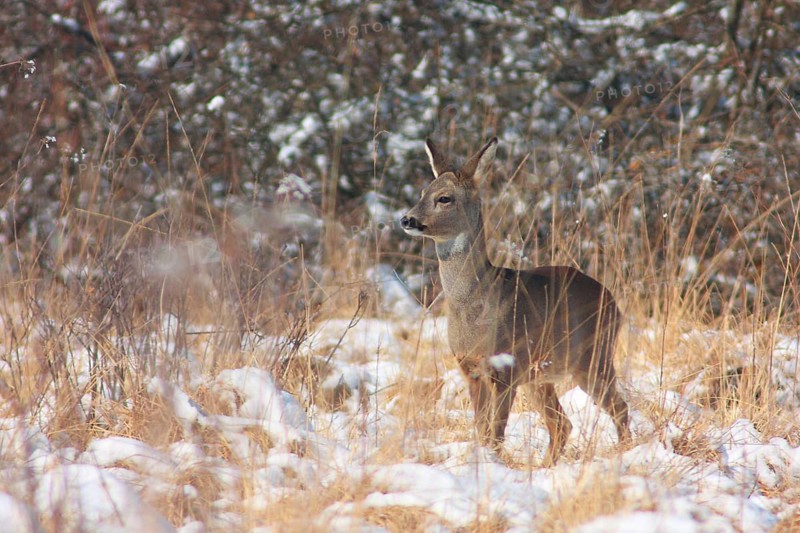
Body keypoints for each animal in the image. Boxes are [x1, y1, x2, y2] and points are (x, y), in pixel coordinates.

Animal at [400, 137, 630, 466]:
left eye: (444, 198)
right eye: (421, 193)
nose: (407, 219)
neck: (475, 304)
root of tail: (613, 301)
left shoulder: (506, 367)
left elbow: (495, 433)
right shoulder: (470, 369)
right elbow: (482, 430)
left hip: (592, 356)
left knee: (619, 409)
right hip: (541, 375)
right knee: (562, 423)